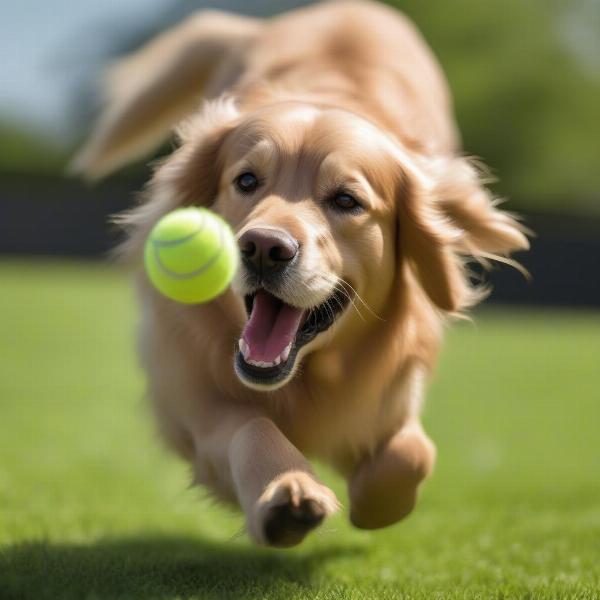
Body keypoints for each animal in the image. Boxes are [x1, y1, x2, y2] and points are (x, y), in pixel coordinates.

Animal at [74, 0, 524, 548]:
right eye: (247, 180)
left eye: (347, 200)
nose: (265, 248)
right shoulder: (194, 402)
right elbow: (251, 429)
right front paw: (287, 493)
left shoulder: (392, 391)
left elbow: (412, 452)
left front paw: (374, 502)